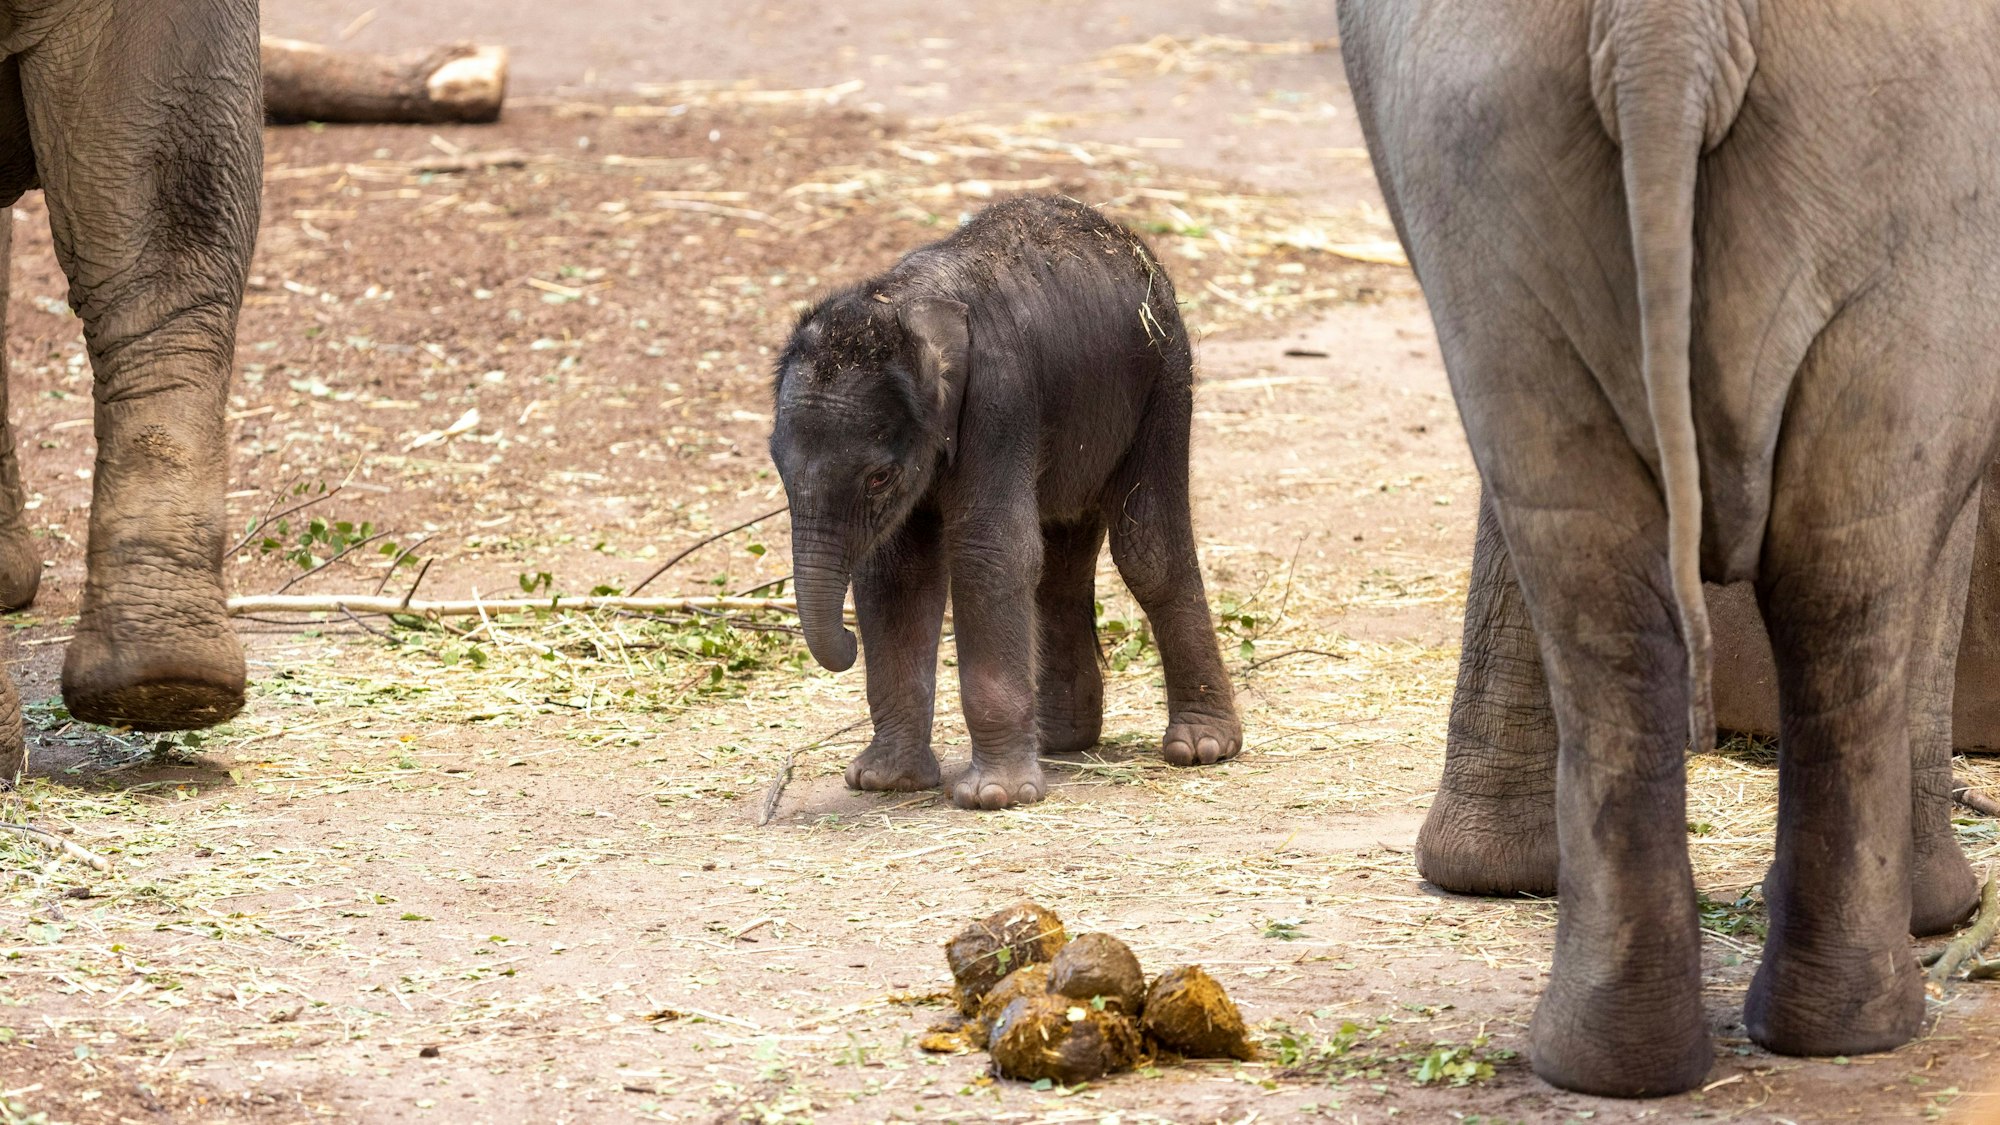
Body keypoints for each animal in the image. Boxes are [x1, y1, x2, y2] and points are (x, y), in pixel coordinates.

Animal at [768, 195, 1242, 811]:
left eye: (878, 478)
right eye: (777, 467)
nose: (846, 644)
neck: (906, 303)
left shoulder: (1000, 399)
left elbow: (989, 553)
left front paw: (994, 796)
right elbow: (898, 573)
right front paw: (885, 782)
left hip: (1166, 377)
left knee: (1148, 551)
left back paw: (1202, 747)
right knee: (1059, 560)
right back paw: (1061, 741)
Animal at [1343, 0, 1995, 1098]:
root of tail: (1665, 27)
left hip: (1478, 132)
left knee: (1599, 559)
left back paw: (1624, 1059)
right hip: (1907, 157)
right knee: (1855, 559)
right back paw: (1864, 1017)